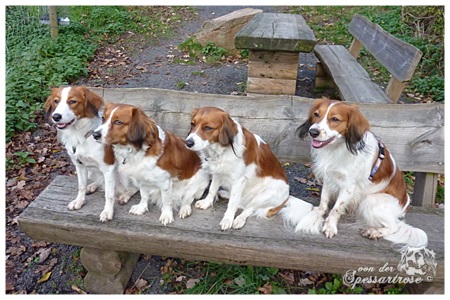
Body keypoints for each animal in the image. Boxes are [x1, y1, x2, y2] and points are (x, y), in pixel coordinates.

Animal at [43, 85, 136, 221]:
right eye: (56, 101)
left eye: (73, 101)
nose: (56, 116)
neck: (80, 135)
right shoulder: (79, 165)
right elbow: (81, 186)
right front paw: (79, 201)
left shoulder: (109, 167)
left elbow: (109, 194)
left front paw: (107, 211)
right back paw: (92, 186)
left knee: (135, 188)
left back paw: (126, 195)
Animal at [282, 99, 426, 251]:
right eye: (316, 114)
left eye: (335, 119)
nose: (312, 132)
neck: (338, 148)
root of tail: (405, 205)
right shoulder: (329, 178)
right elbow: (324, 201)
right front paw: (318, 213)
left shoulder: (348, 186)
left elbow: (336, 209)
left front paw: (330, 226)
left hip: (370, 201)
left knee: (395, 226)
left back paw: (374, 232)